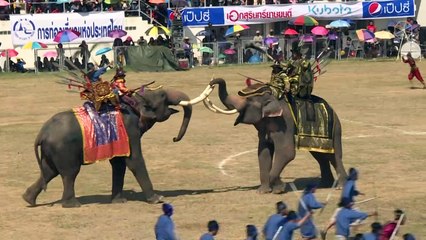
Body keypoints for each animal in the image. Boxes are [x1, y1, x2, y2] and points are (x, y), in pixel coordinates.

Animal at [23, 85, 210, 207]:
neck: (133, 101)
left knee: (49, 171)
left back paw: (28, 199)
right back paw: (72, 204)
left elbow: (119, 164)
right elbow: (134, 160)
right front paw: (158, 199)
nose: (174, 138)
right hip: (63, 149)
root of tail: (42, 133)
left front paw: (119, 201)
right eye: (163, 96)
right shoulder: (130, 129)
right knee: (69, 173)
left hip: (51, 151)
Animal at [203, 78, 346, 194]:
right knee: (320, 156)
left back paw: (340, 187)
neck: (273, 97)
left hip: (335, 129)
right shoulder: (263, 128)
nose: (211, 83)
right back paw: (323, 185)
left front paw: (279, 188)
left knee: (334, 156)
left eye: (248, 100)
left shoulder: (284, 123)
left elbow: (286, 152)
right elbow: (263, 153)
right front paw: (263, 191)